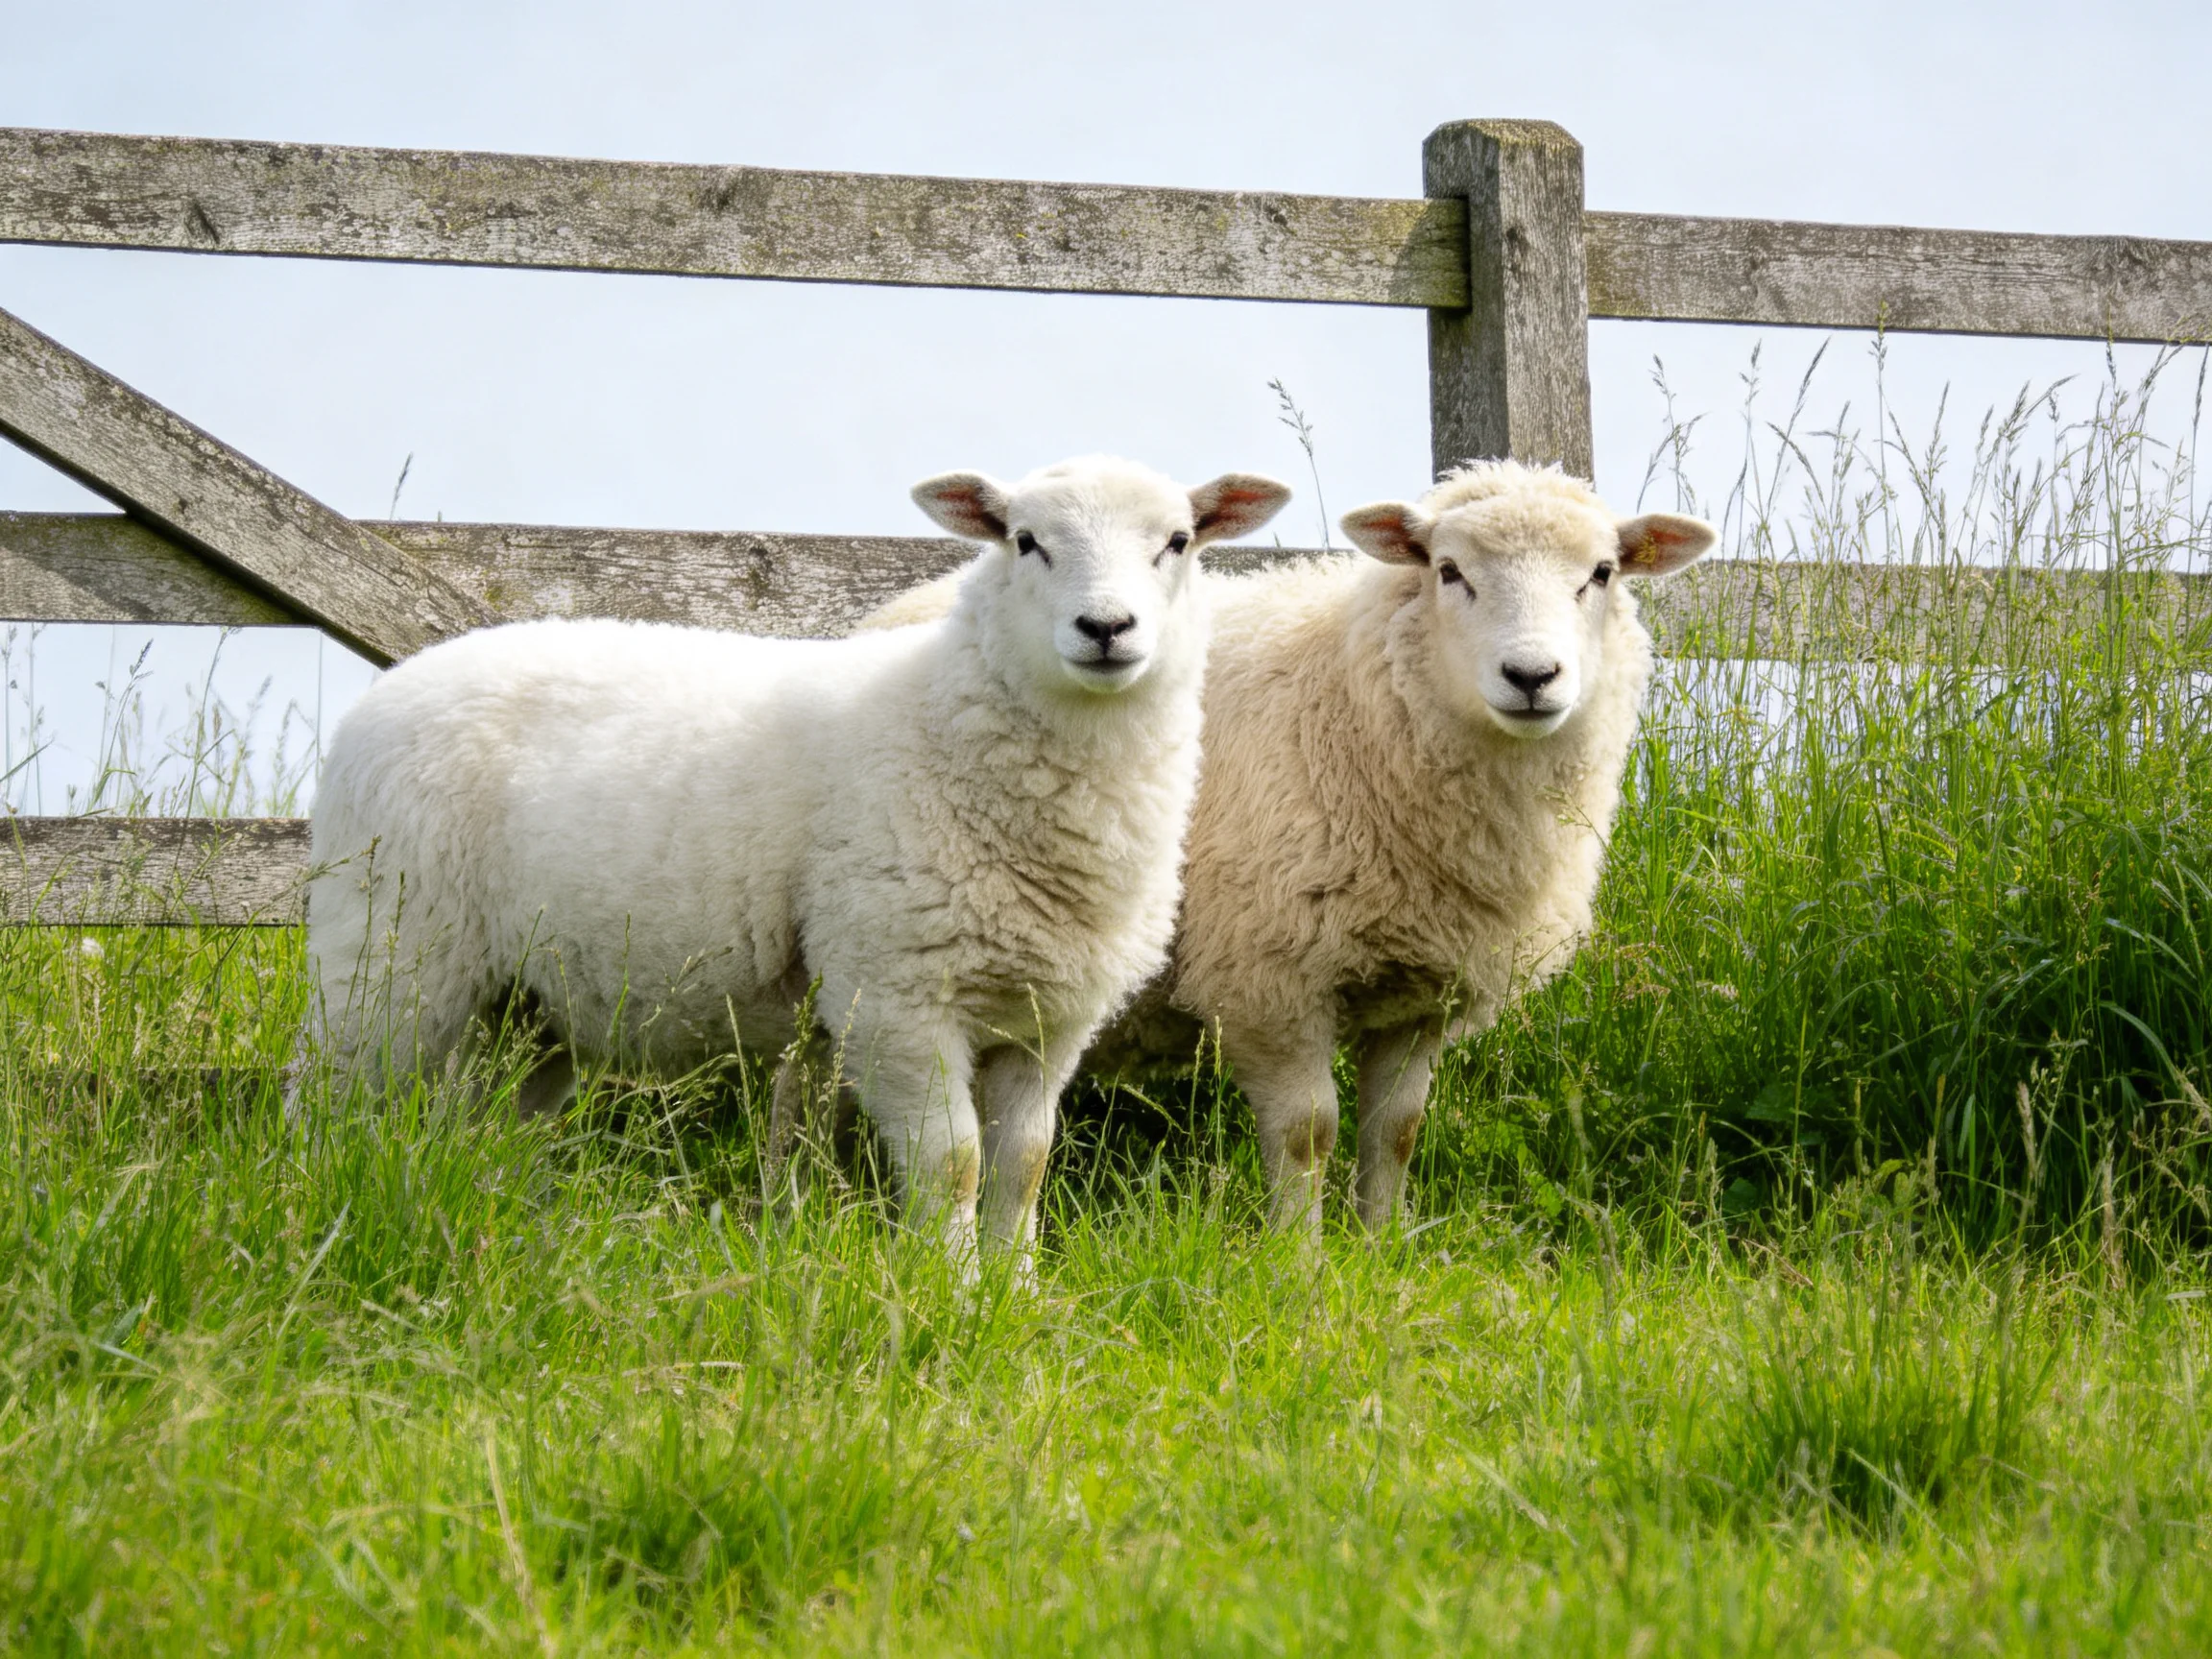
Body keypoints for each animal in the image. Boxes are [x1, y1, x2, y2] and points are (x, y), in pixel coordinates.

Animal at [302, 455, 1293, 1262]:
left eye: (1178, 541)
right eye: (1025, 541)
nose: (1106, 627)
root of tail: (386, 692)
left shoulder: (1049, 1018)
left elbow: (1023, 1166)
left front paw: (1015, 1296)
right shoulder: (891, 994)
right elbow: (954, 1167)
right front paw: (952, 1294)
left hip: (524, 1001)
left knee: (490, 1127)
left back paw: (495, 1224)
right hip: (387, 950)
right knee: (331, 1097)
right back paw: (317, 1210)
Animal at [854, 461, 1713, 1239]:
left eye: (1601, 573)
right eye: (1449, 570)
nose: (1532, 676)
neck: (1355, 705)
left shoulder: (1422, 993)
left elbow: (1397, 1131)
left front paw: (1380, 1250)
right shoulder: (1269, 976)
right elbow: (1308, 1134)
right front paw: (1299, 1264)